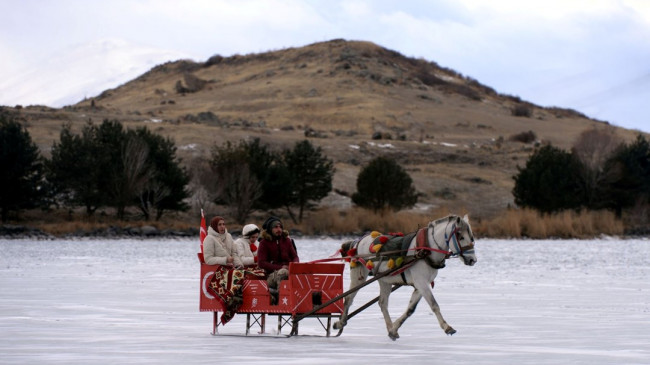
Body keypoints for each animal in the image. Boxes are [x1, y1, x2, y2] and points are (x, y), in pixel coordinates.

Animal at [332, 213, 474, 338]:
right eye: (461, 237)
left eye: (472, 237)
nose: (473, 260)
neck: (426, 249)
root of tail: (358, 241)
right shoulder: (421, 282)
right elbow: (434, 305)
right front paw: (447, 327)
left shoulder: (421, 285)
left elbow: (410, 309)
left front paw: (394, 329)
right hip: (358, 274)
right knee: (349, 298)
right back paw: (341, 323)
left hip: (384, 279)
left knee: (382, 303)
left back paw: (389, 327)